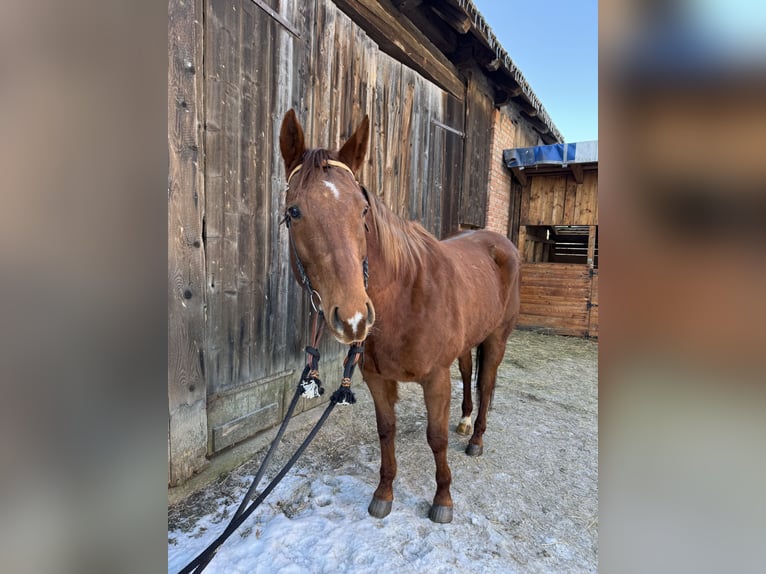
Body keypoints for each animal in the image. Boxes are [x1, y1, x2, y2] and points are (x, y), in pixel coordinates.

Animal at [278, 109, 520, 523]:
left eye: (362, 211)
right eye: (294, 212)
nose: (354, 319)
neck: (404, 298)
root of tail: (499, 241)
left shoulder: (435, 378)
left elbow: (435, 438)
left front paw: (442, 500)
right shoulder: (377, 379)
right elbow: (386, 431)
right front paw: (384, 493)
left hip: (497, 337)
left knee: (486, 384)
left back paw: (476, 439)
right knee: (469, 375)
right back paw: (465, 421)